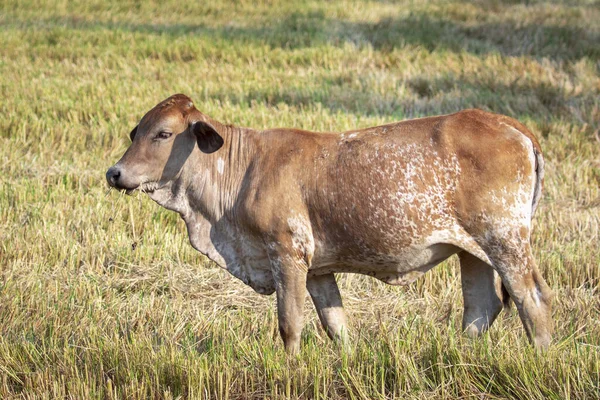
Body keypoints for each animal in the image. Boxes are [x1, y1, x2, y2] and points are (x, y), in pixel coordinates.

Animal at [105, 94, 552, 354]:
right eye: (135, 131)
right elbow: (335, 324)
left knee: (531, 300)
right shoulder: (318, 269)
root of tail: (511, 125)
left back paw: (541, 359)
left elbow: (290, 324)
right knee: (481, 306)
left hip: (505, 241)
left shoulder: (287, 254)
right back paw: (458, 357)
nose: (115, 173)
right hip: (471, 250)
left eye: (164, 134)